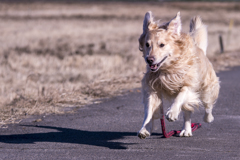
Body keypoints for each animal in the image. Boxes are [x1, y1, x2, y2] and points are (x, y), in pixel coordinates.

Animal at [137, 11, 219, 139]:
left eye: (162, 45)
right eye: (147, 44)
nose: (149, 60)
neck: (167, 69)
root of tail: (201, 50)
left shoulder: (190, 84)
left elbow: (181, 95)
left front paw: (172, 112)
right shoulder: (152, 88)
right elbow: (150, 110)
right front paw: (145, 128)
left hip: (207, 88)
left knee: (208, 105)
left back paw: (208, 118)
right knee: (187, 112)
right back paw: (186, 130)